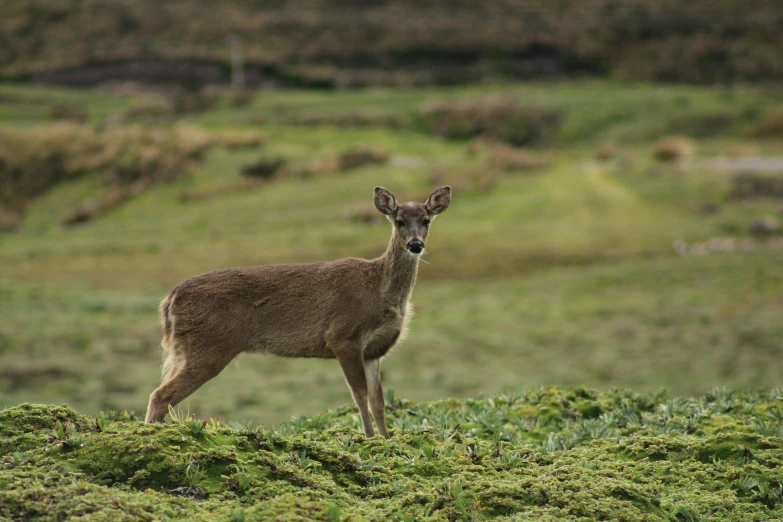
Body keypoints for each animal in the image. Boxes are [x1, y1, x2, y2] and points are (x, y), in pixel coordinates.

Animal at [145, 185, 454, 436]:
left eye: (426, 220)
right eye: (399, 221)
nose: (415, 244)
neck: (379, 292)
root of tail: (170, 299)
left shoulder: (375, 350)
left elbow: (378, 401)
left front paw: (387, 440)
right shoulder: (343, 335)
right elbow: (359, 395)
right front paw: (369, 438)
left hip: (187, 349)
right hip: (207, 346)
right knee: (160, 395)